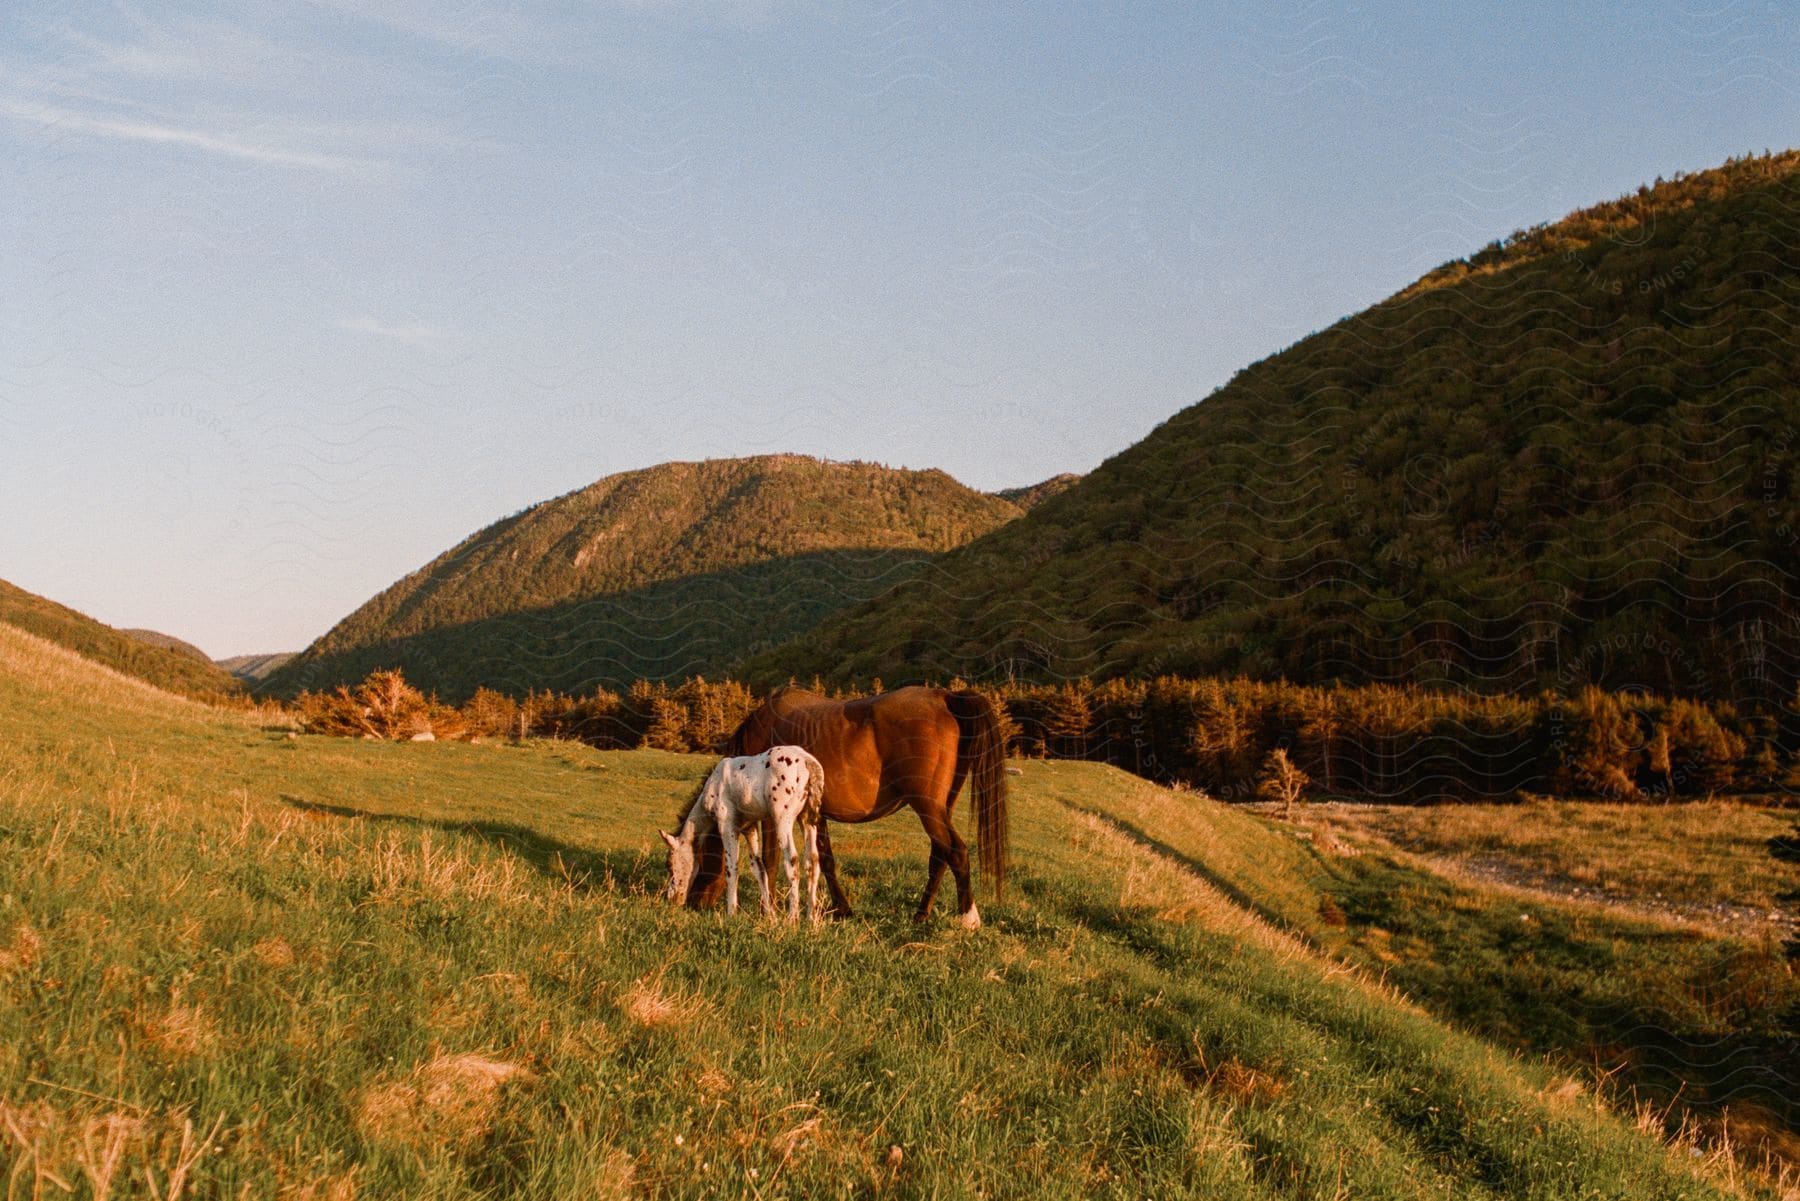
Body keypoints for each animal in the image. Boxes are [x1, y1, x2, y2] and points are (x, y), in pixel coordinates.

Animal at [666, 745, 824, 929]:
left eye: (669, 865)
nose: (672, 899)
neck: (714, 785)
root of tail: (808, 762)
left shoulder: (726, 825)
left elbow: (731, 867)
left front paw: (731, 913)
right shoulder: (750, 828)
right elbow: (758, 868)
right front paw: (770, 916)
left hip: (782, 819)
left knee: (792, 860)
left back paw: (792, 918)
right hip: (808, 820)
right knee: (812, 861)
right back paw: (811, 918)